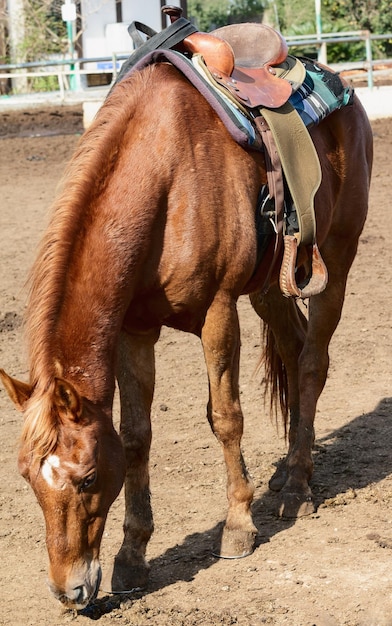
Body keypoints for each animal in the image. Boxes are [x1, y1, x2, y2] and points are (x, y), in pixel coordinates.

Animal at [0, 61, 374, 608]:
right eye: (26, 476)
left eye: (87, 478)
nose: (69, 591)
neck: (166, 177)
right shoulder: (134, 331)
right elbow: (136, 436)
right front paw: (131, 557)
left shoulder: (218, 312)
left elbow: (226, 417)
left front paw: (238, 526)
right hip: (271, 286)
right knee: (293, 346)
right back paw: (286, 470)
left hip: (338, 259)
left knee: (311, 364)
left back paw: (298, 488)